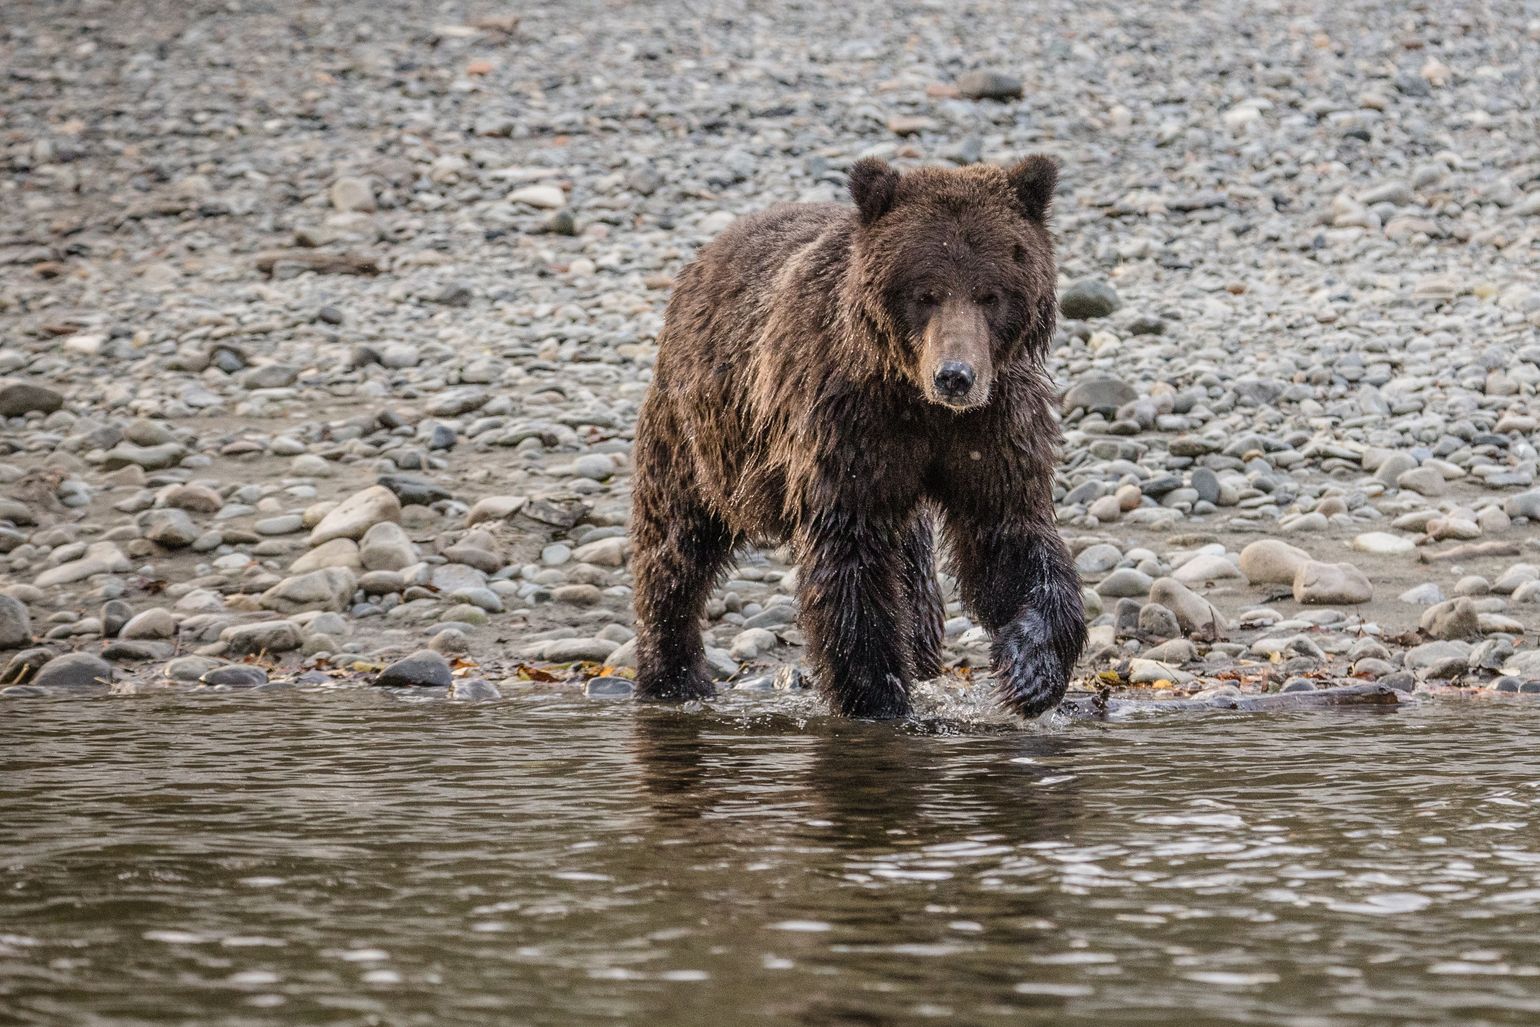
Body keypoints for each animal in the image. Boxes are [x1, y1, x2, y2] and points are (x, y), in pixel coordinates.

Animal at [629, 155, 1086, 720]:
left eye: (990, 294)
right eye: (925, 293)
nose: (955, 376)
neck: (918, 404)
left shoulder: (991, 428)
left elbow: (1009, 536)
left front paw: (1031, 670)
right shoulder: (848, 426)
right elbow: (852, 557)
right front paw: (879, 698)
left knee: (911, 555)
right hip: (702, 433)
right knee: (676, 542)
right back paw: (673, 674)